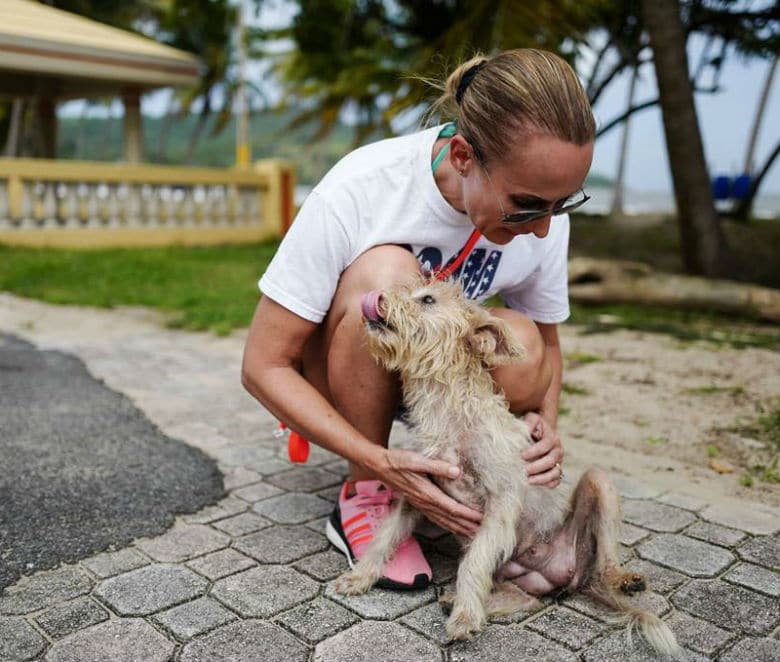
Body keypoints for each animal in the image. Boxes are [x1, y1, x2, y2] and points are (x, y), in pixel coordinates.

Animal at [336, 274, 684, 660]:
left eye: (427, 299)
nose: (377, 297)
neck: (445, 408)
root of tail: (571, 578)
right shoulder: (418, 492)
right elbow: (384, 538)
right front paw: (360, 576)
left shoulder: (501, 501)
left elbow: (473, 562)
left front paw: (465, 618)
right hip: (514, 576)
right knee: (524, 600)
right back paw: (462, 601)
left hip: (598, 485)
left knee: (605, 564)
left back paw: (622, 580)